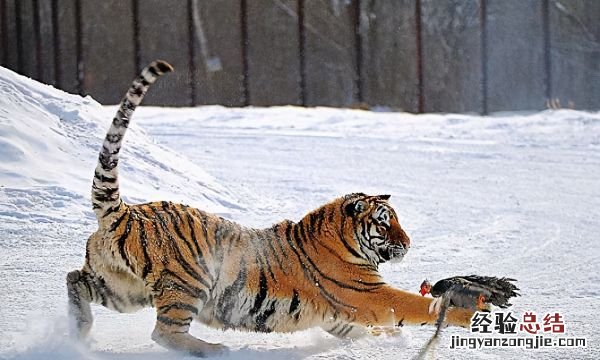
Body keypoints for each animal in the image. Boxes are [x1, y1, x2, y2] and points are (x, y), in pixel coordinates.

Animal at [67, 60, 474, 356]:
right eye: (385, 223)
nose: (408, 244)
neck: (345, 241)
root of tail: (126, 211)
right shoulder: (369, 295)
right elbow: (416, 306)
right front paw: (470, 313)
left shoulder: (339, 313)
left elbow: (360, 328)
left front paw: (384, 339)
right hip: (186, 282)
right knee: (164, 333)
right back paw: (215, 349)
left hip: (121, 287)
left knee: (74, 278)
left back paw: (79, 330)